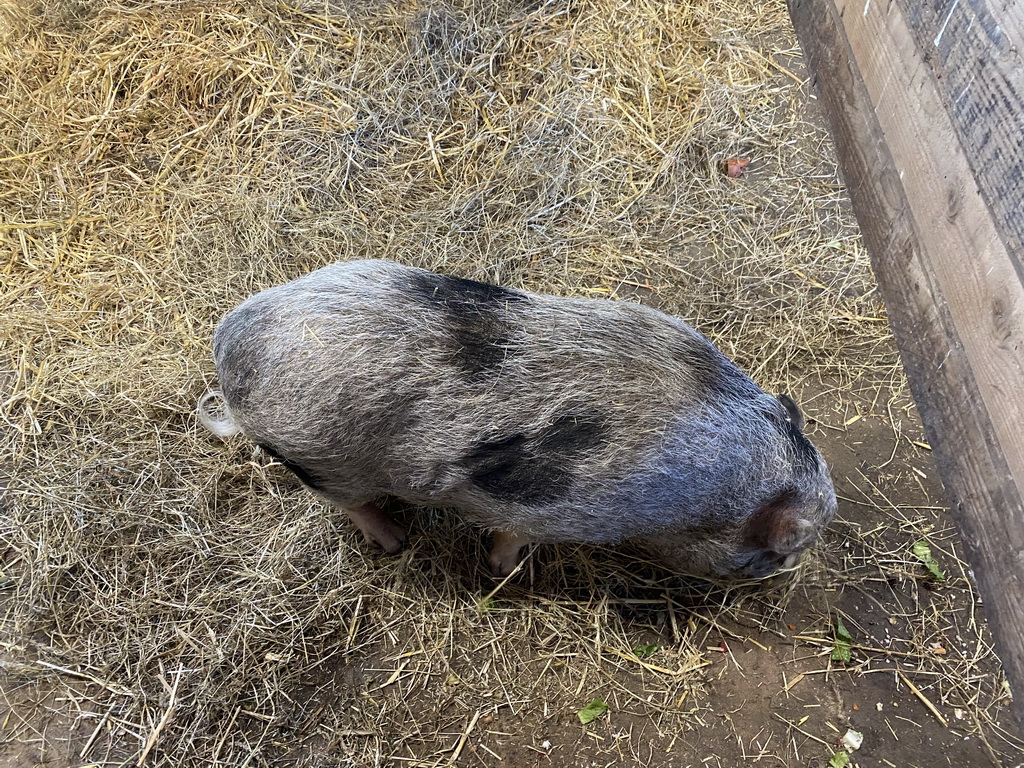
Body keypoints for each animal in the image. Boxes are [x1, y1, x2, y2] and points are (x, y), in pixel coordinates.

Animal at [195, 262, 835, 581]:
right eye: (782, 549)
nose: (790, 571)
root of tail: (229, 351)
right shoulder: (553, 510)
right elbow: (511, 537)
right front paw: (506, 573)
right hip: (320, 460)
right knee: (349, 503)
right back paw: (396, 541)